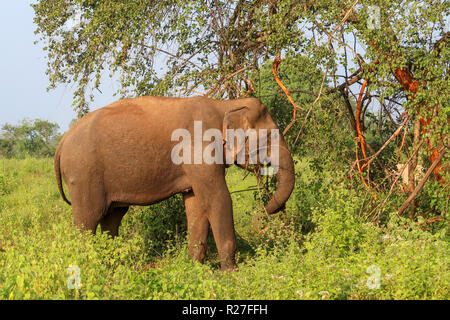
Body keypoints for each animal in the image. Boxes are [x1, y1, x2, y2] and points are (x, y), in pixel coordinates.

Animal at [54, 95, 296, 270]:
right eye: (268, 136)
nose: (262, 212)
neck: (225, 105)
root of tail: (62, 142)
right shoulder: (199, 150)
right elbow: (217, 199)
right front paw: (231, 273)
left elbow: (196, 205)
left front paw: (195, 268)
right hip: (83, 175)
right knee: (88, 221)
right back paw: (90, 267)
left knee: (112, 218)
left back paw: (112, 265)